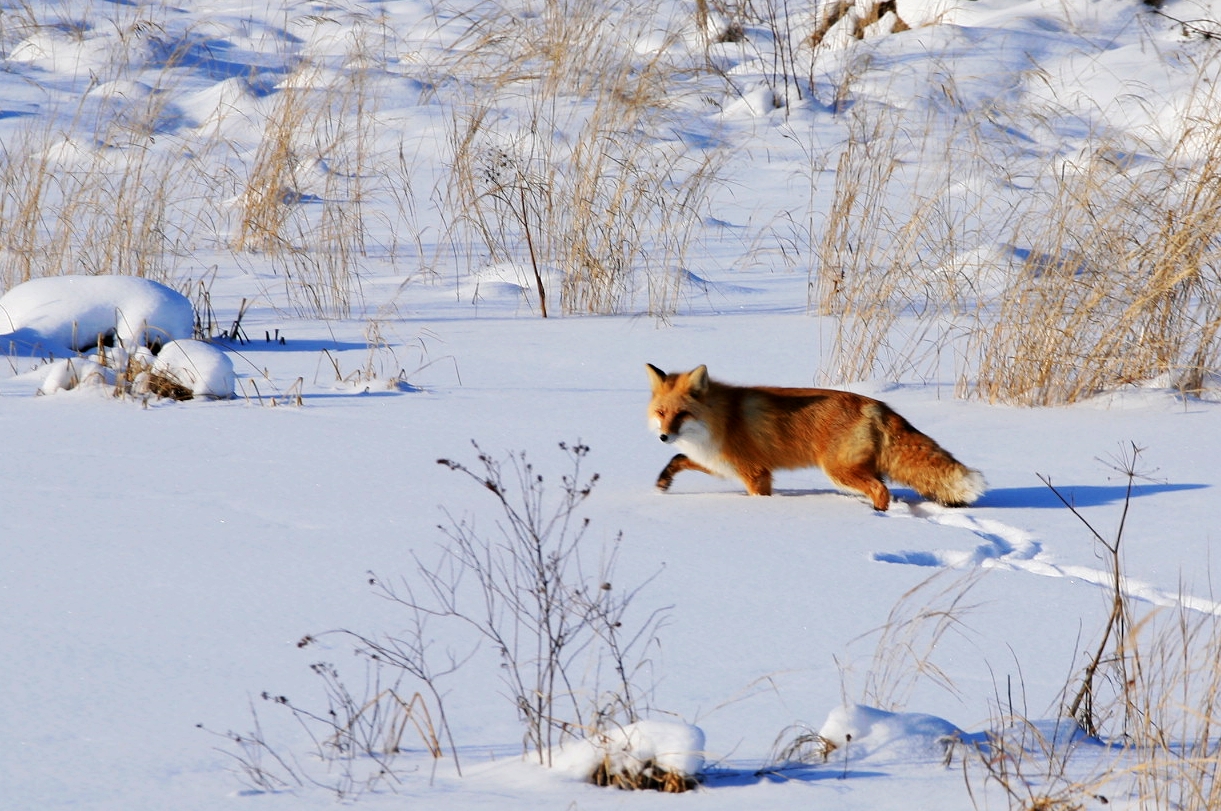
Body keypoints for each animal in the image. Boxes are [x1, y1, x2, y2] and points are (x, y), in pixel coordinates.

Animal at [649, 363, 981, 510]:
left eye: (682, 414)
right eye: (661, 413)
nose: (663, 437)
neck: (720, 419)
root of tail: (877, 405)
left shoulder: (756, 474)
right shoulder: (719, 463)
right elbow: (679, 458)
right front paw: (662, 483)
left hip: (838, 471)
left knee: (880, 490)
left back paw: (877, 516)